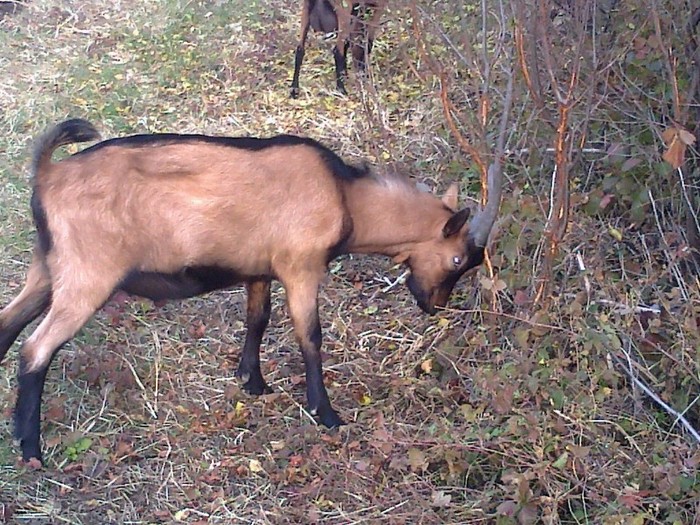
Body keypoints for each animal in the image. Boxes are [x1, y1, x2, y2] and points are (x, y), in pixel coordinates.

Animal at [2, 118, 500, 462]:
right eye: (458, 260)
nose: (434, 304)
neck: (346, 198)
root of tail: (47, 175)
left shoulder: (260, 268)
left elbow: (258, 319)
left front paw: (253, 382)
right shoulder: (301, 267)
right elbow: (310, 337)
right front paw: (326, 414)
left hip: (47, 269)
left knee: (8, 326)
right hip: (88, 274)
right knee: (35, 348)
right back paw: (30, 448)